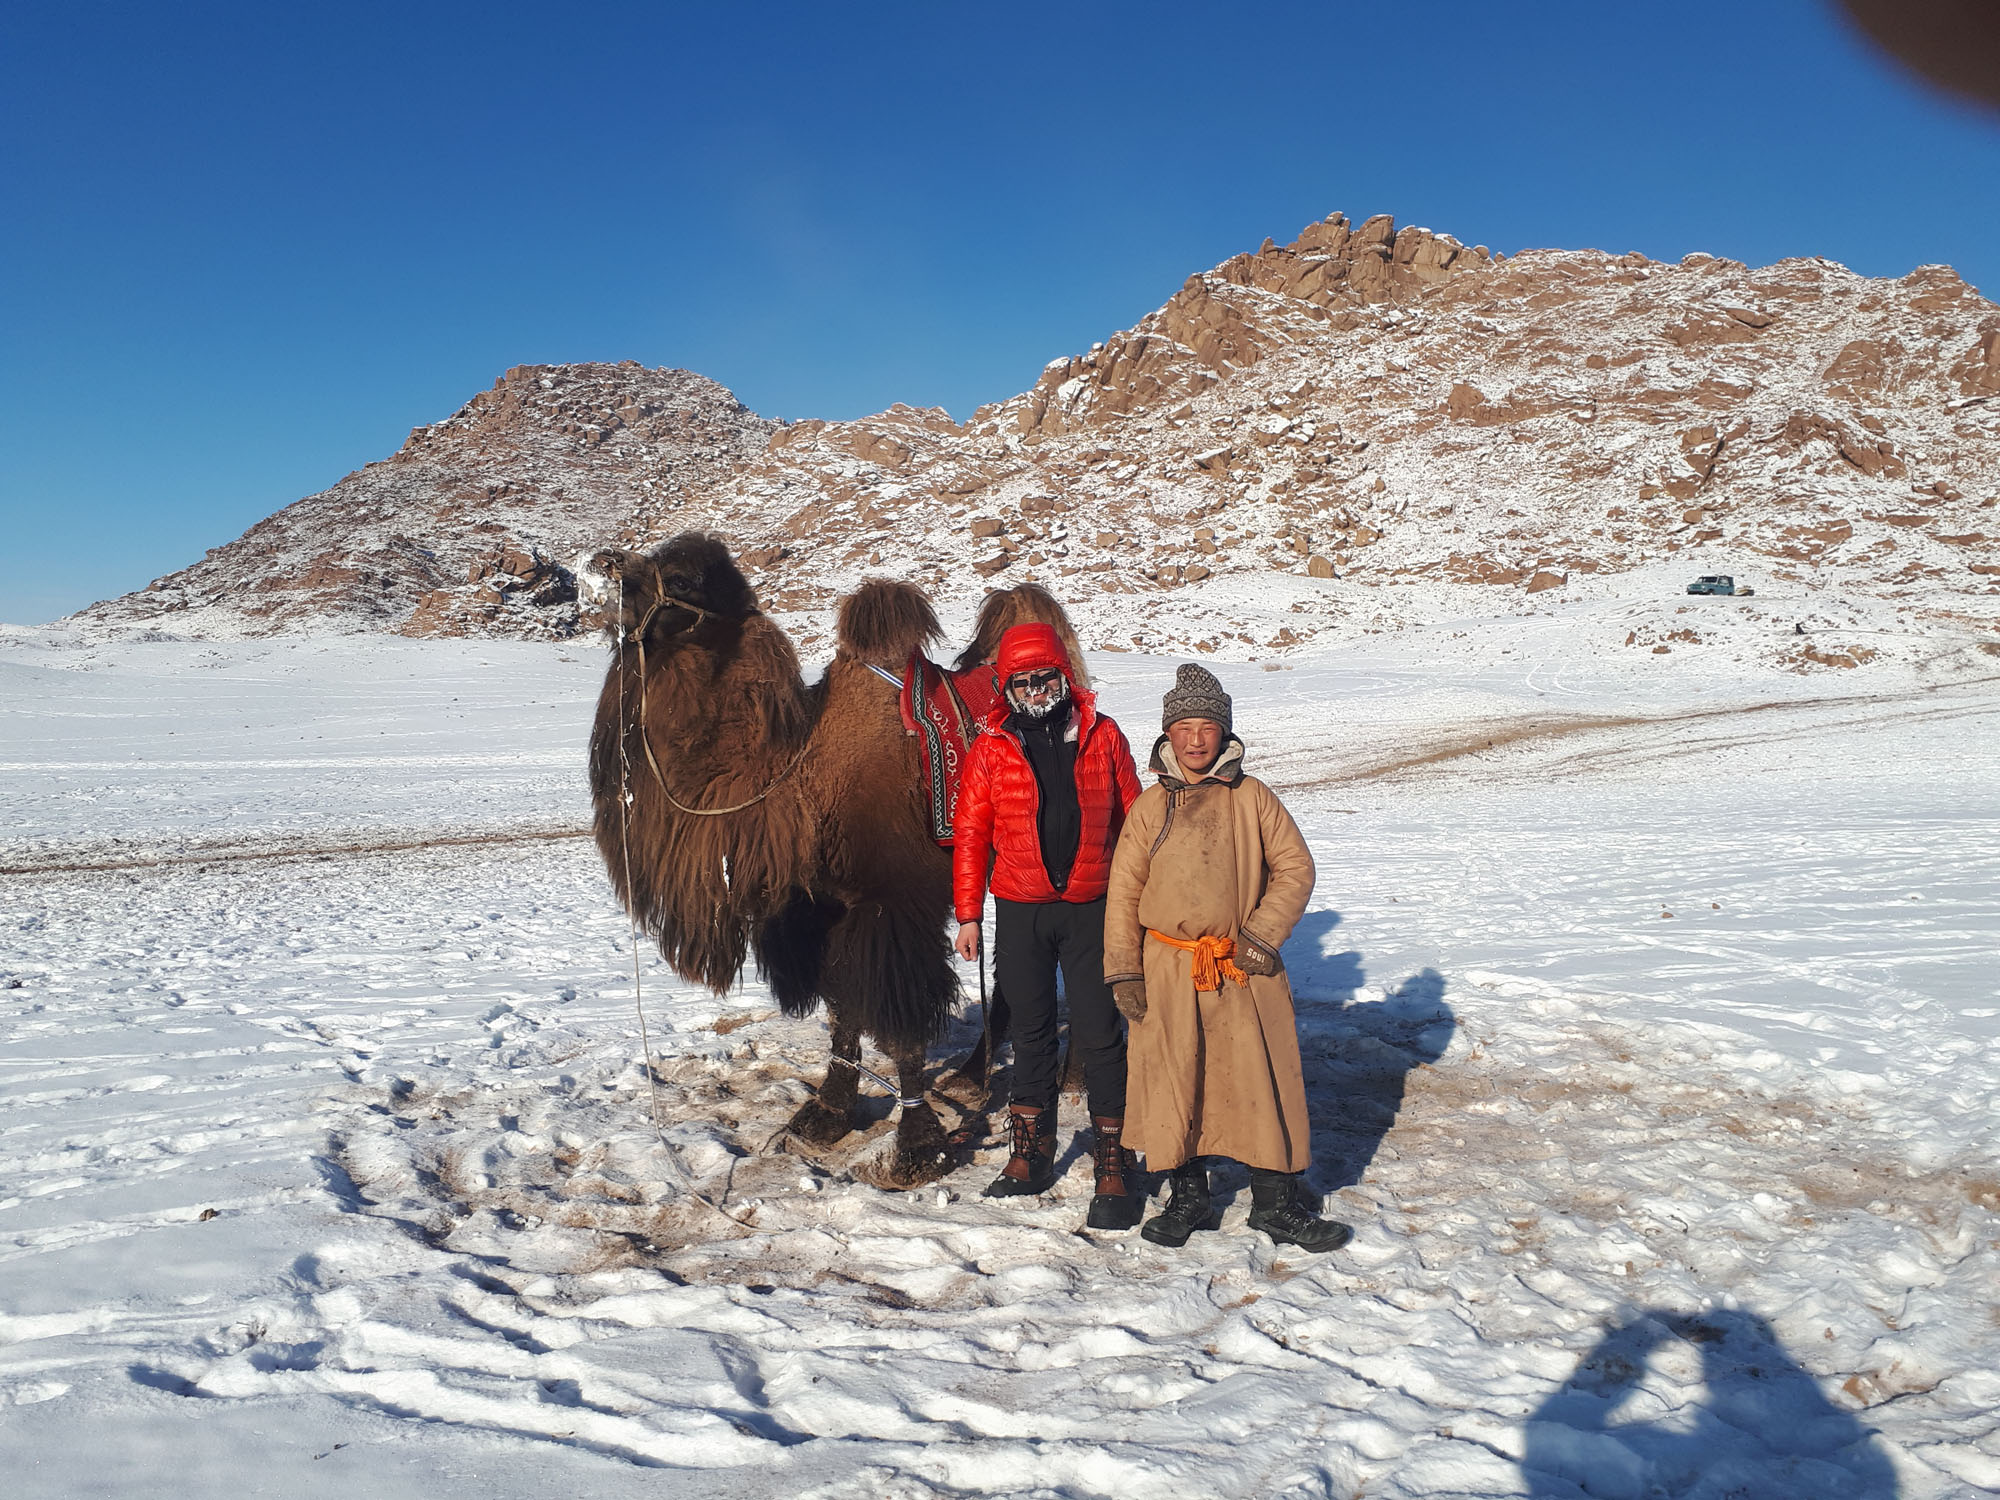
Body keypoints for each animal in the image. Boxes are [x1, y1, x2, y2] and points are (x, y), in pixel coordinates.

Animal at [585, 532, 1085, 1187]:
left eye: (685, 578)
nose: (606, 564)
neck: (796, 783)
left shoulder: (893, 905)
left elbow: (900, 1026)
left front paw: (916, 1148)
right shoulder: (823, 909)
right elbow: (843, 1011)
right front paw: (827, 1112)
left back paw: (1065, 1078)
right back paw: (971, 1079)